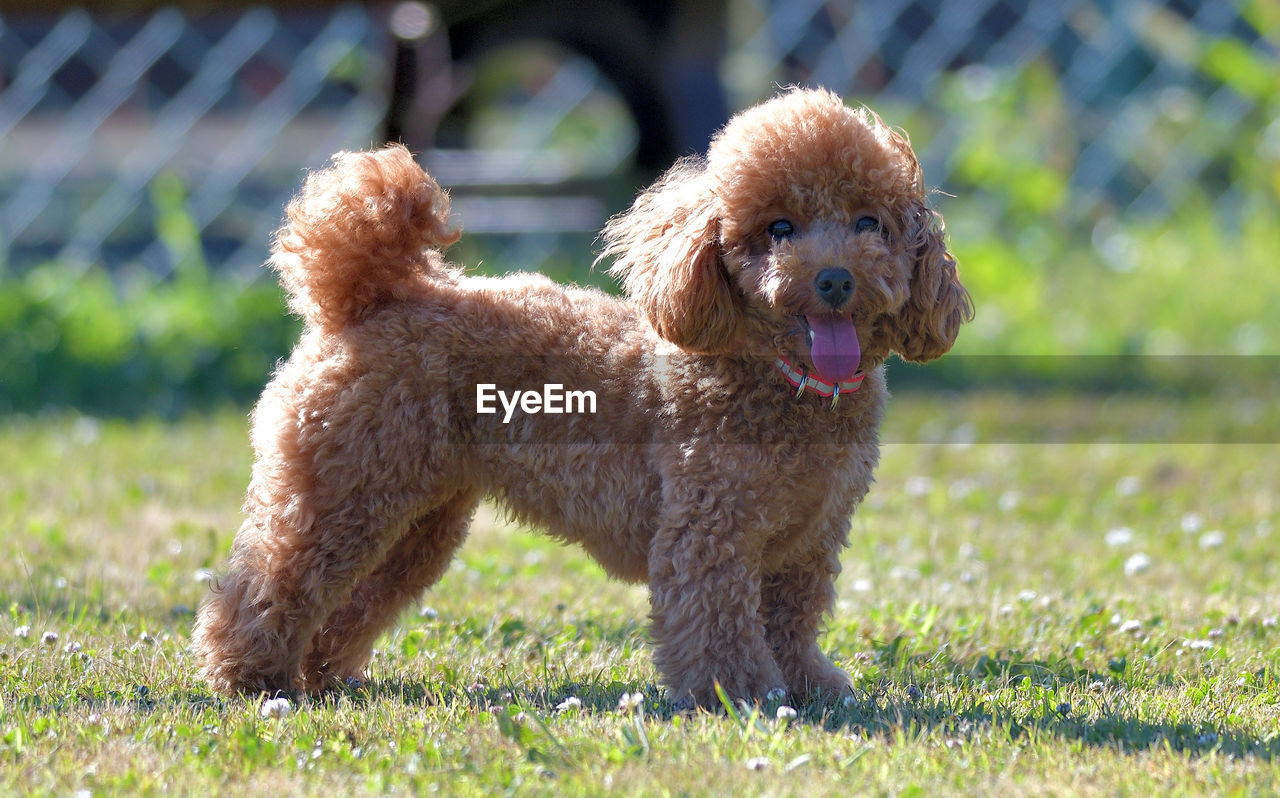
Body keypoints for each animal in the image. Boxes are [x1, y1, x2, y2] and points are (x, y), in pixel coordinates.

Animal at [192, 87, 967, 707]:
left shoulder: (807, 541)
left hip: (415, 517)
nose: (835, 279)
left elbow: (792, 621)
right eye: (779, 229)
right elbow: (716, 623)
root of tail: (370, 291)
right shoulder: (709, 531)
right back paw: (252, 678)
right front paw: (740, 694)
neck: (785, 379)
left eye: (869, 223)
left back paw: (320, 676)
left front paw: (808, 687)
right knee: (269, 583)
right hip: (343, 489)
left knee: (351, 600)